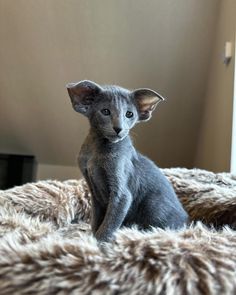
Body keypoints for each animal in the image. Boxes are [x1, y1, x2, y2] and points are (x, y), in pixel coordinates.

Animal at [66, 80, 188, 242]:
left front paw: (96, 242)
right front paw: (89, 235)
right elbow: (96, 220)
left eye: (129, 114)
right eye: (105, 111)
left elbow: (108, 224)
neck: (96, 150)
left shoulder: (122, 195)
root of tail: (188, 221)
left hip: (153, 206)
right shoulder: (94, 193)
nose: (118, 128)